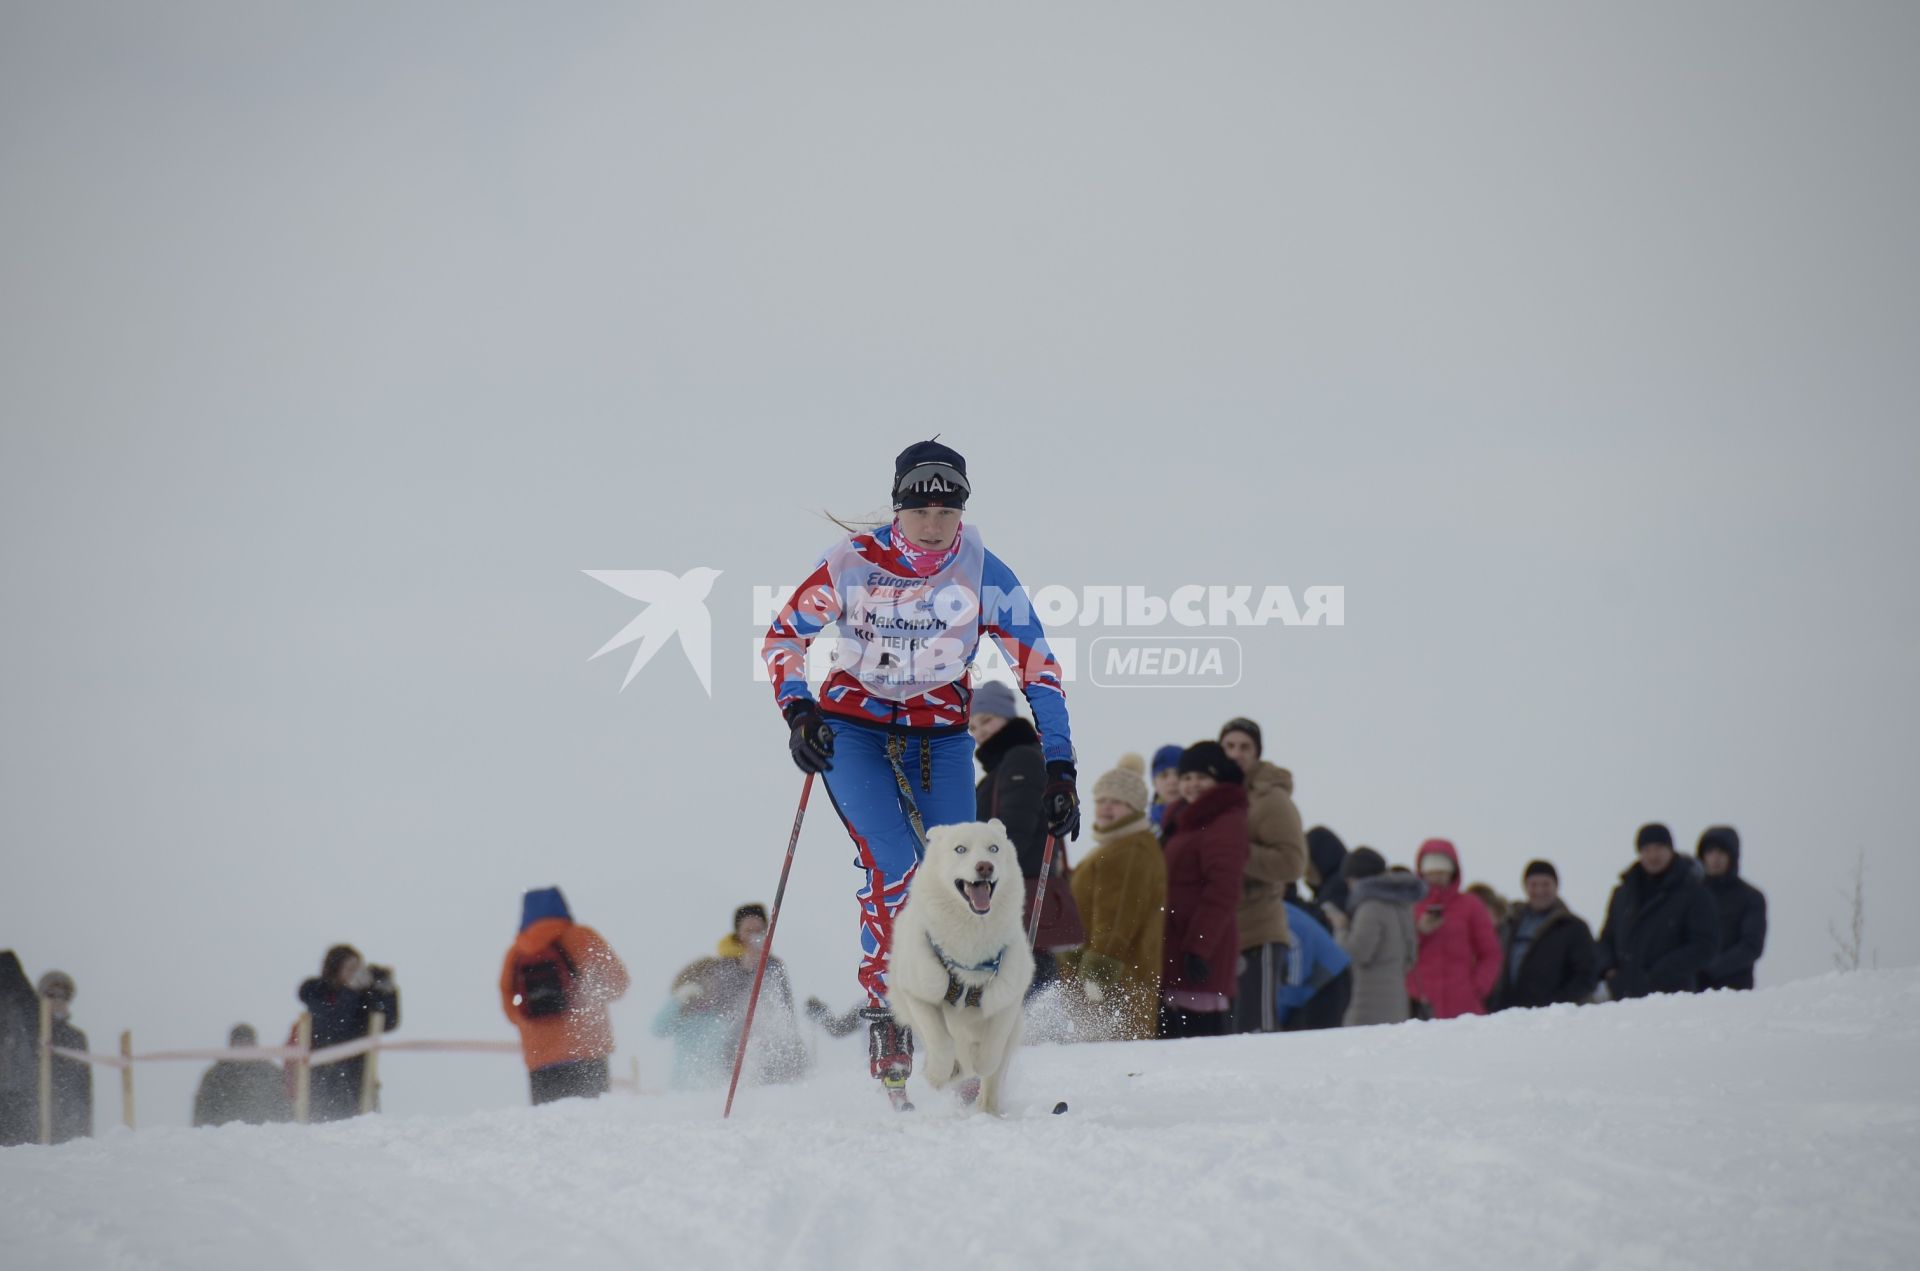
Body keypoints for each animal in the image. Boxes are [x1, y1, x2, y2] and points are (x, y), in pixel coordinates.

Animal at [887, 821, 1036, 1113]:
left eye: (993, 848)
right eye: (960, 849)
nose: (985, 866)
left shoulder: (1007, 1000)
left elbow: (991, 1053)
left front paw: (977, 1062)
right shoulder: (918, 995)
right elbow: (941, 1041)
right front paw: (937, 1075)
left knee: (992, 1071)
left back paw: (988, 1108)